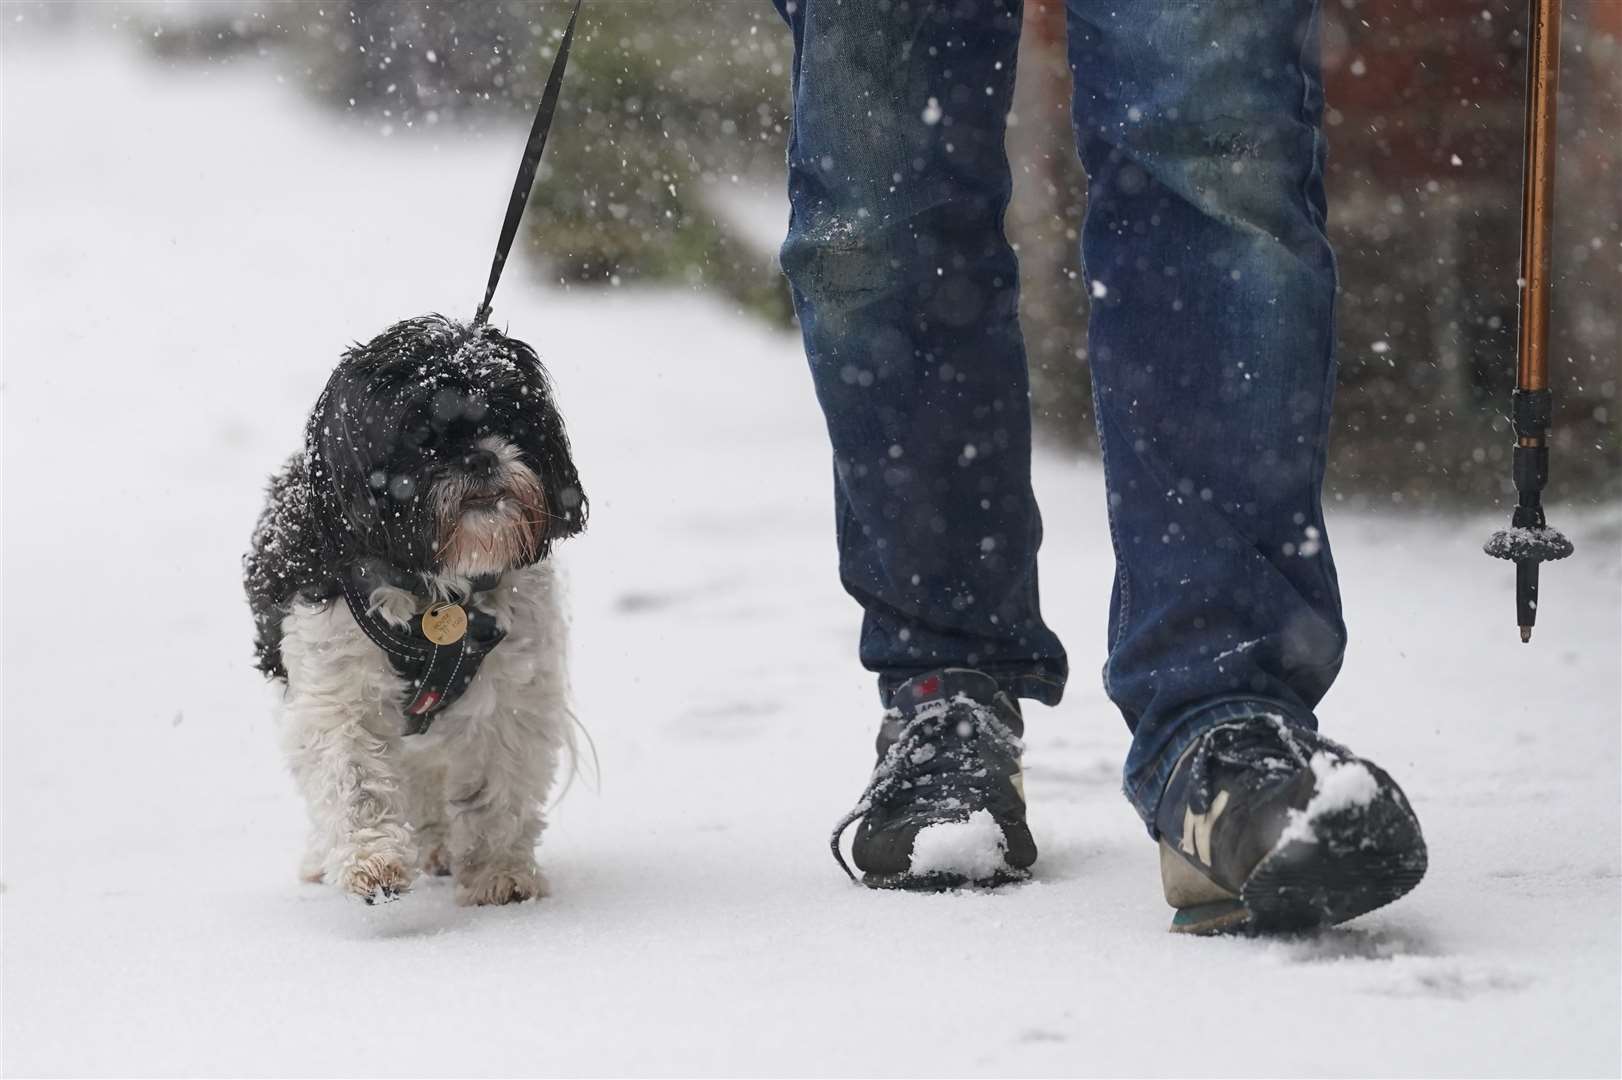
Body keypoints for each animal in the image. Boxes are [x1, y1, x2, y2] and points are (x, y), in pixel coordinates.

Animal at [243, 311, 587, 901]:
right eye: (421, 437)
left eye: (511, 418)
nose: (479, 455)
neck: (435, 589)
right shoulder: (336, 688)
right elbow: (354, 777)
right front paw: (371, 862)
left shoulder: (513, 693)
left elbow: (498, 783)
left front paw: (499, 871)